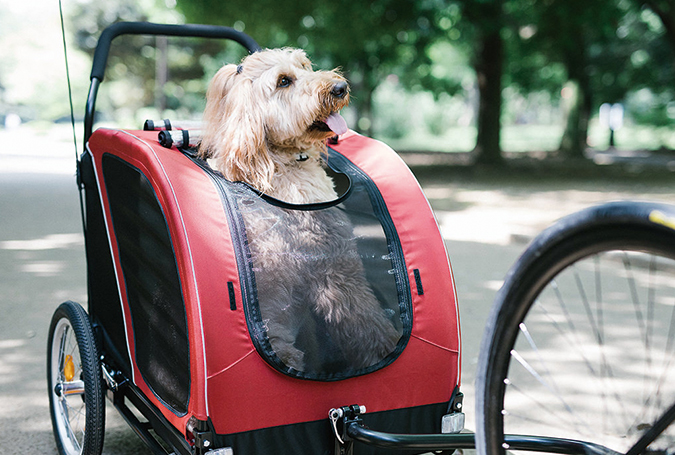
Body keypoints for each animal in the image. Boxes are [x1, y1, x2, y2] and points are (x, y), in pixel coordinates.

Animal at [199, 48, 402, 372]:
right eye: (284, 81)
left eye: (305, 65)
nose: (339, 87)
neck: (284, 164)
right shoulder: (326, 268)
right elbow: (363, 320)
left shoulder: (337, 265)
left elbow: (366, 322)